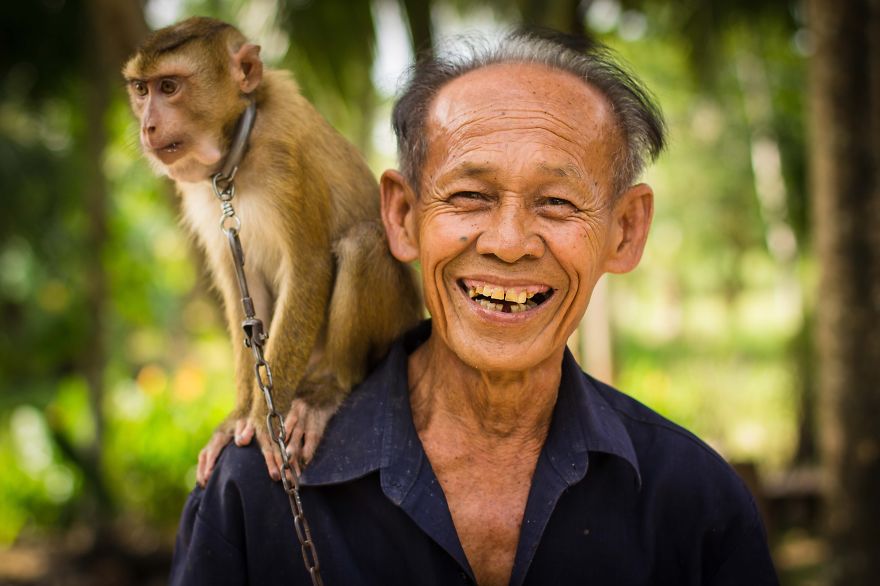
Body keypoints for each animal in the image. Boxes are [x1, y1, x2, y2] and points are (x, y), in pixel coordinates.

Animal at [123, 17, 422, 486]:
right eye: (141, 89)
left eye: (169, 87)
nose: (147, 126)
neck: (237, 152)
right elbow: (244, 296)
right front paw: (240, 415)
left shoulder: (287, 158)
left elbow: (309, 269)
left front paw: (269, 418)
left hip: (398, 318)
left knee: (362, 242)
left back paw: (329, 385)